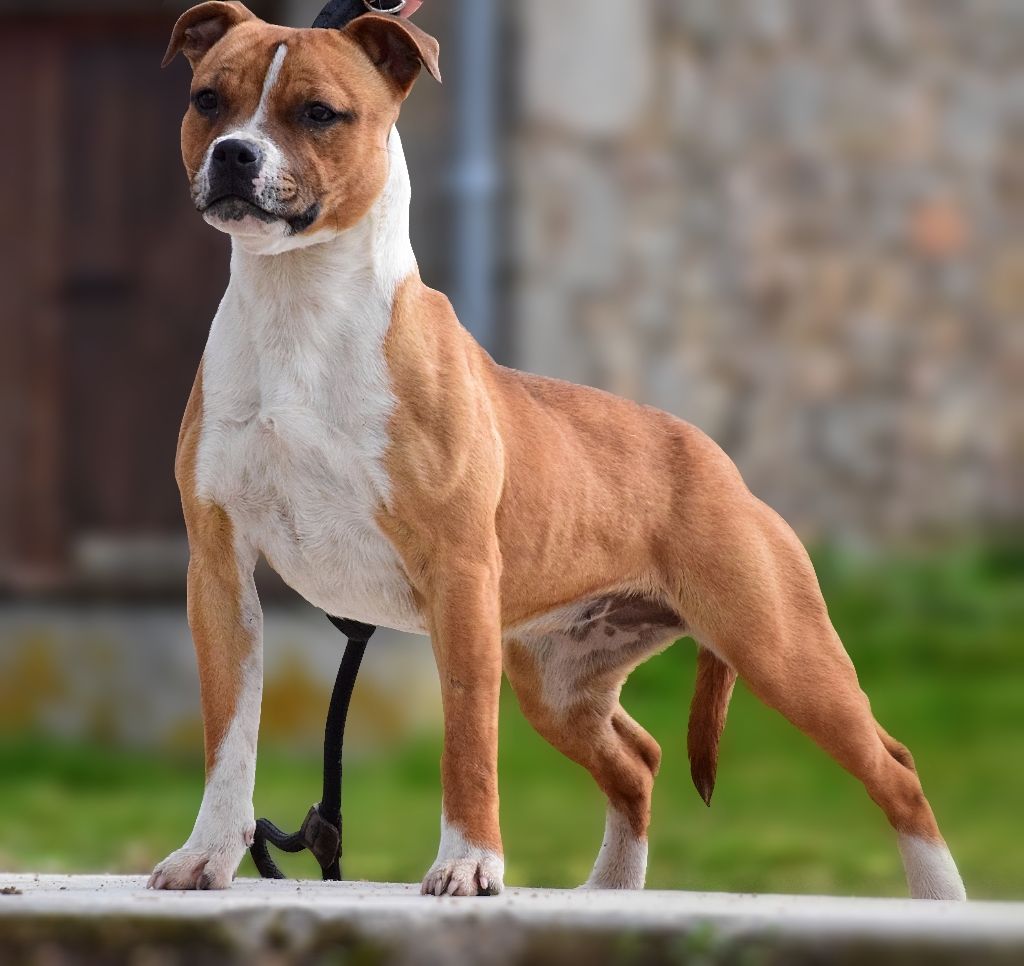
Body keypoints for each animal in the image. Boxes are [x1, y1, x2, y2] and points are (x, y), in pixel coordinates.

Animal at [149, 1, 966, 900]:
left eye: (319, 113)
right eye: (207, 99)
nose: (235, 153)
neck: (299, 307)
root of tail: (720, 463)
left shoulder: (460, 578)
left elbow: (467, 739)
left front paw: (469, 864)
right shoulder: (221, 573)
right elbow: (230, 736)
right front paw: (206, 856)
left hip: (781, 649)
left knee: (894, 766)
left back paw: (942, 898)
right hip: (559, 681)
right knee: (638, 761)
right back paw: (610, 891)